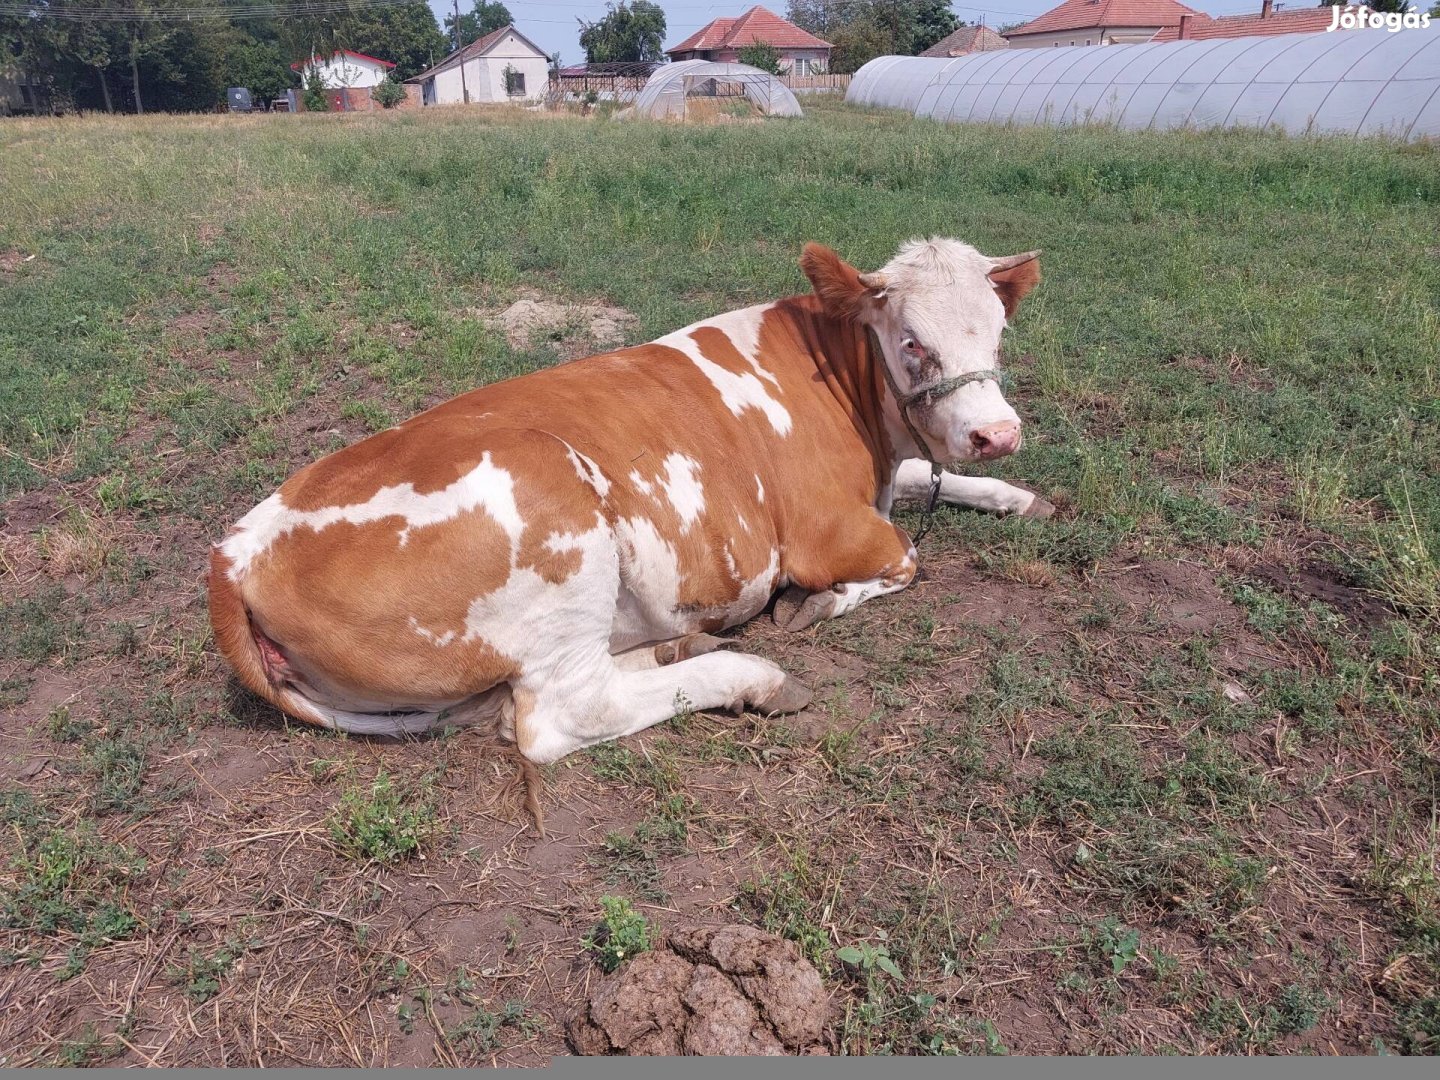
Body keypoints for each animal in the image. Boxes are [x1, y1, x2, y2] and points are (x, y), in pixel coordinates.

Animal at [208, 239, 1048, 771]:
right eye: (911, 342)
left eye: (998, 333)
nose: (997, 433)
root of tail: (234, 552)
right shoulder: (828, 531)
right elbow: (905, 559)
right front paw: (816, 604)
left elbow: (928, 478)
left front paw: (1016, 494)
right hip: (558, 516)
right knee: (566, 712)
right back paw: (749, 674)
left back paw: (680, 647)